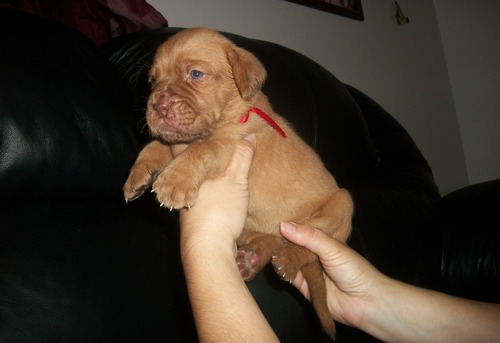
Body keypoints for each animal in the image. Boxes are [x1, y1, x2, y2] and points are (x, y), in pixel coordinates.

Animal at [123, 28, 354, 340]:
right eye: (152, 80)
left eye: (195, 74)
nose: (157, 107)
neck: (234, 109)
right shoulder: (180, 140)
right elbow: (155, 146)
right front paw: (137, 177)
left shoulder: (230, 144)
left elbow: (201, 150)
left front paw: (174, 182)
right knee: (274, 237)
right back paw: (252, 253)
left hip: (341, 206)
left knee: (308, 251)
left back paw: (288, 259)